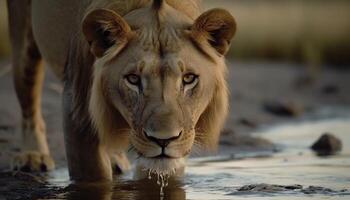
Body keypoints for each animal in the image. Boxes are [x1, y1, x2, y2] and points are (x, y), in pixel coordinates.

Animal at [6, 0, 237, 181]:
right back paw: (32, 156)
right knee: (29, 107)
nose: (163, 140)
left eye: (189, 78)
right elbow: (94, 179)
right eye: (133, 79)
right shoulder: (78, 108)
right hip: (23, 45)